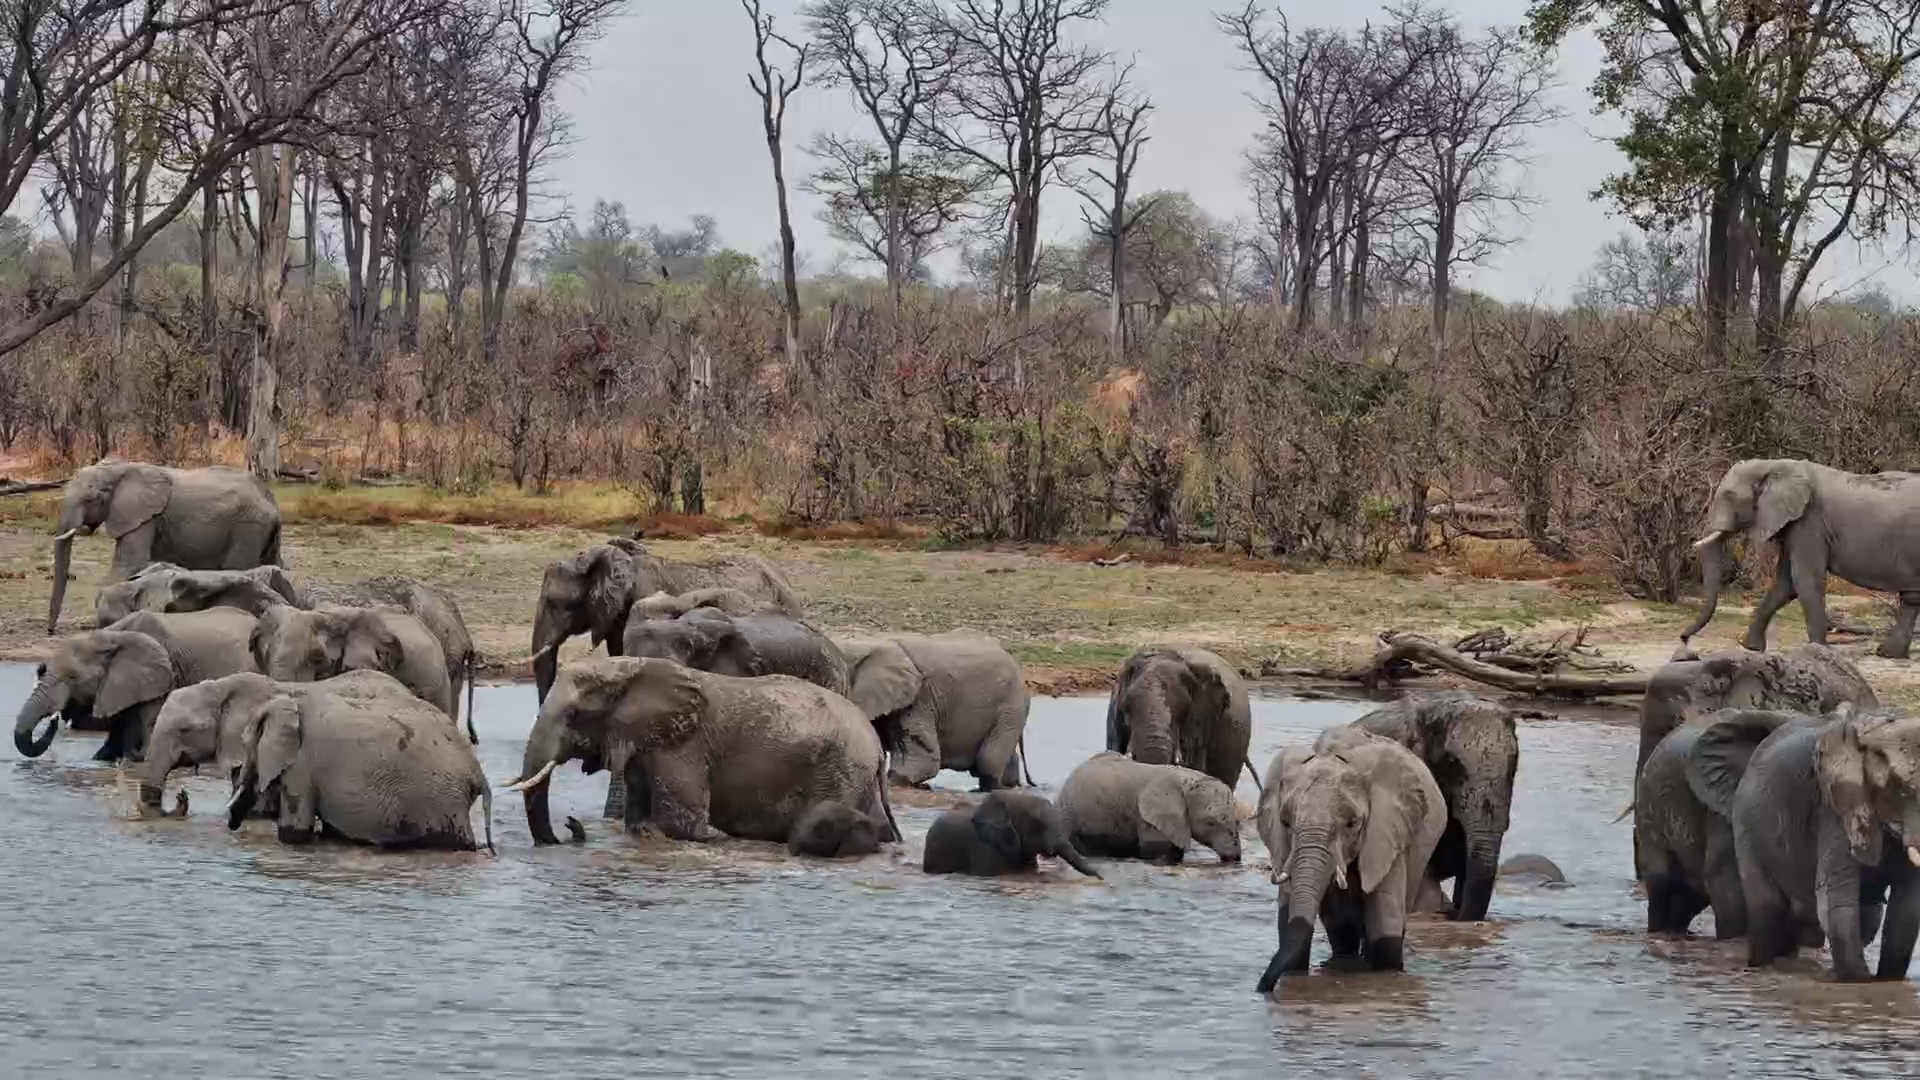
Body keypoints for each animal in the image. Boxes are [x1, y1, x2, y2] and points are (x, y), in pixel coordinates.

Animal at [224, 670, 494, 852]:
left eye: (246, 744)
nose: (232, 826)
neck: (289, 701)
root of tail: (477, 773)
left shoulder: (302, 766)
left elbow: (294, 832)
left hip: (442, 800)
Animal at [506, 656, 896, 848]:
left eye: (573, 715)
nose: (569, 826)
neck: (625, 669)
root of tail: (876, 747)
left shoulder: (682, 747)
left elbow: (681, 826)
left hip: (840, 770)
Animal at [1255, 727, 1447, 989]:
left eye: (1352, 823)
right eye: (1285, 821)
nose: (1263, 989)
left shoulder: (1386, 834)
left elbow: (1385, 928)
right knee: (1342, 929)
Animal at [1682, 458, 1920, 658]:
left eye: (1729, 496)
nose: (1684, 639)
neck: (1772, 465)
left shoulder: (1809, 523)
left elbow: (1805, 580)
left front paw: (1819, 652)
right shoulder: (1794, 526)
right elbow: (1784, 585)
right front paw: (1751, 648)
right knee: (1911, 600)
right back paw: (1889, 654)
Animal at [1696, 705, 1920, 979]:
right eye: (1898, 786)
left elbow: (1908, 908)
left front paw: (1887, 980)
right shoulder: (1833, 807)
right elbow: (1835, 894)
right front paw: (1859, 981)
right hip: (1747, 825)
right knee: (1768, 905)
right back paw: (1763, 967)